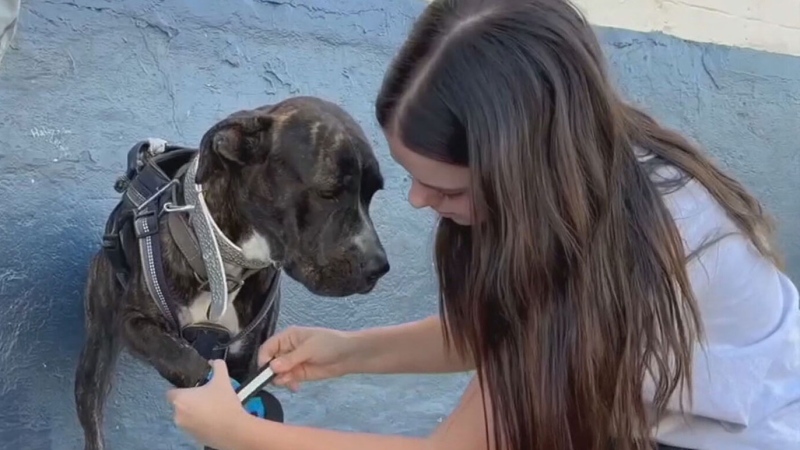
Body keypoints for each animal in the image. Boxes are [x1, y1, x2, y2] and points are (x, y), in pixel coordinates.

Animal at [73, 97, 392, 450]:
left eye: (372, 194)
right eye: (328, 192)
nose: (379, 266)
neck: (225, 263)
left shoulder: (246, 360)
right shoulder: (134, 322)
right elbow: (180, 357)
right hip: (95, 355)